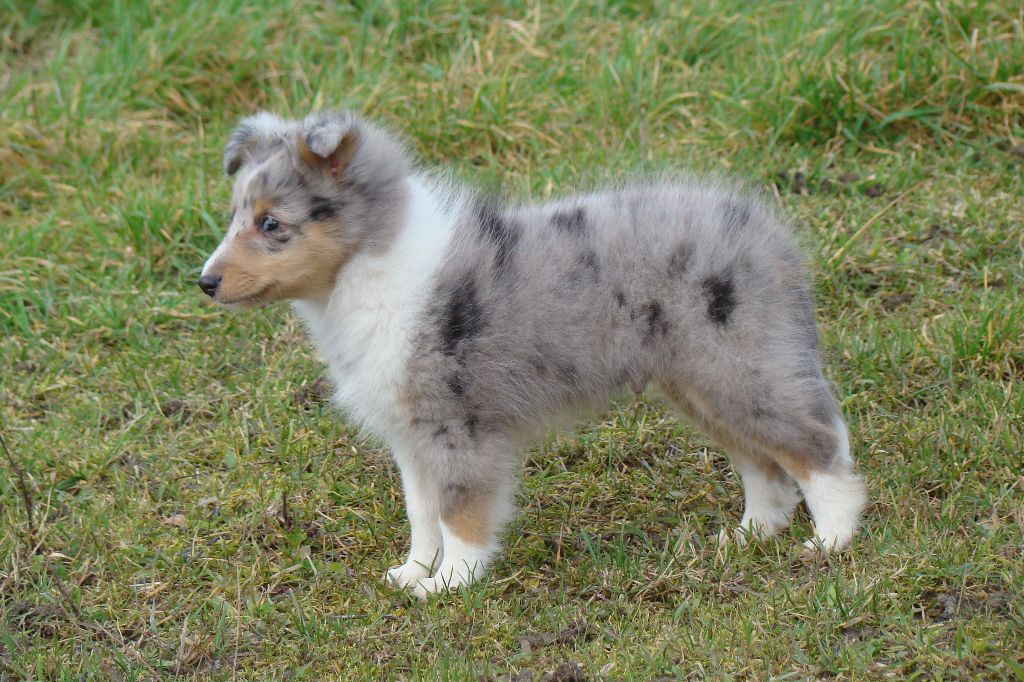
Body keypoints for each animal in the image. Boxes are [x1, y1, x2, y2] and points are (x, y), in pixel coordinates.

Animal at [197, 109, 864, 593]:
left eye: (272, 224)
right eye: (235, 215)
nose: (204, 282)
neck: (371, 270)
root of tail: (770, 235)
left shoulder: (458, 426)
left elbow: (459, 512)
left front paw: (453, 582)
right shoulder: (411, 436)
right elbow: (422, 513)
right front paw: (412, 573)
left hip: (738, 368)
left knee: (817, 447)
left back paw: (831, 542)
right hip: (701, 384)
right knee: (765, 464)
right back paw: (750, 536)